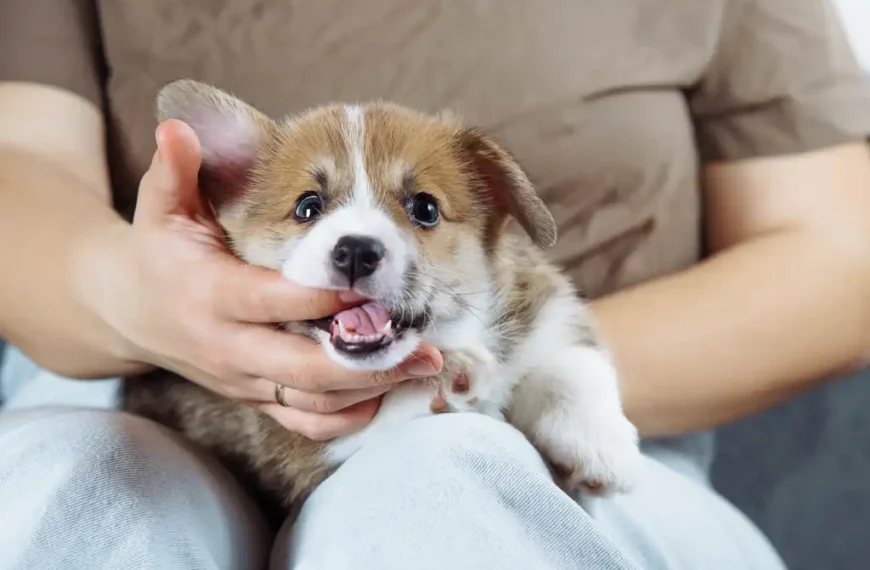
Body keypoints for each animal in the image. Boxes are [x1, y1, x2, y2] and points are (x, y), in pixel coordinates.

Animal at [122, 77, 644, 520]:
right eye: (307, 207)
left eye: (425, 208)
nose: (355, 250)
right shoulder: (306, 451)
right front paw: (452, 378)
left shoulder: (547, 309)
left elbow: (570, 365)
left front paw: (601, 447)